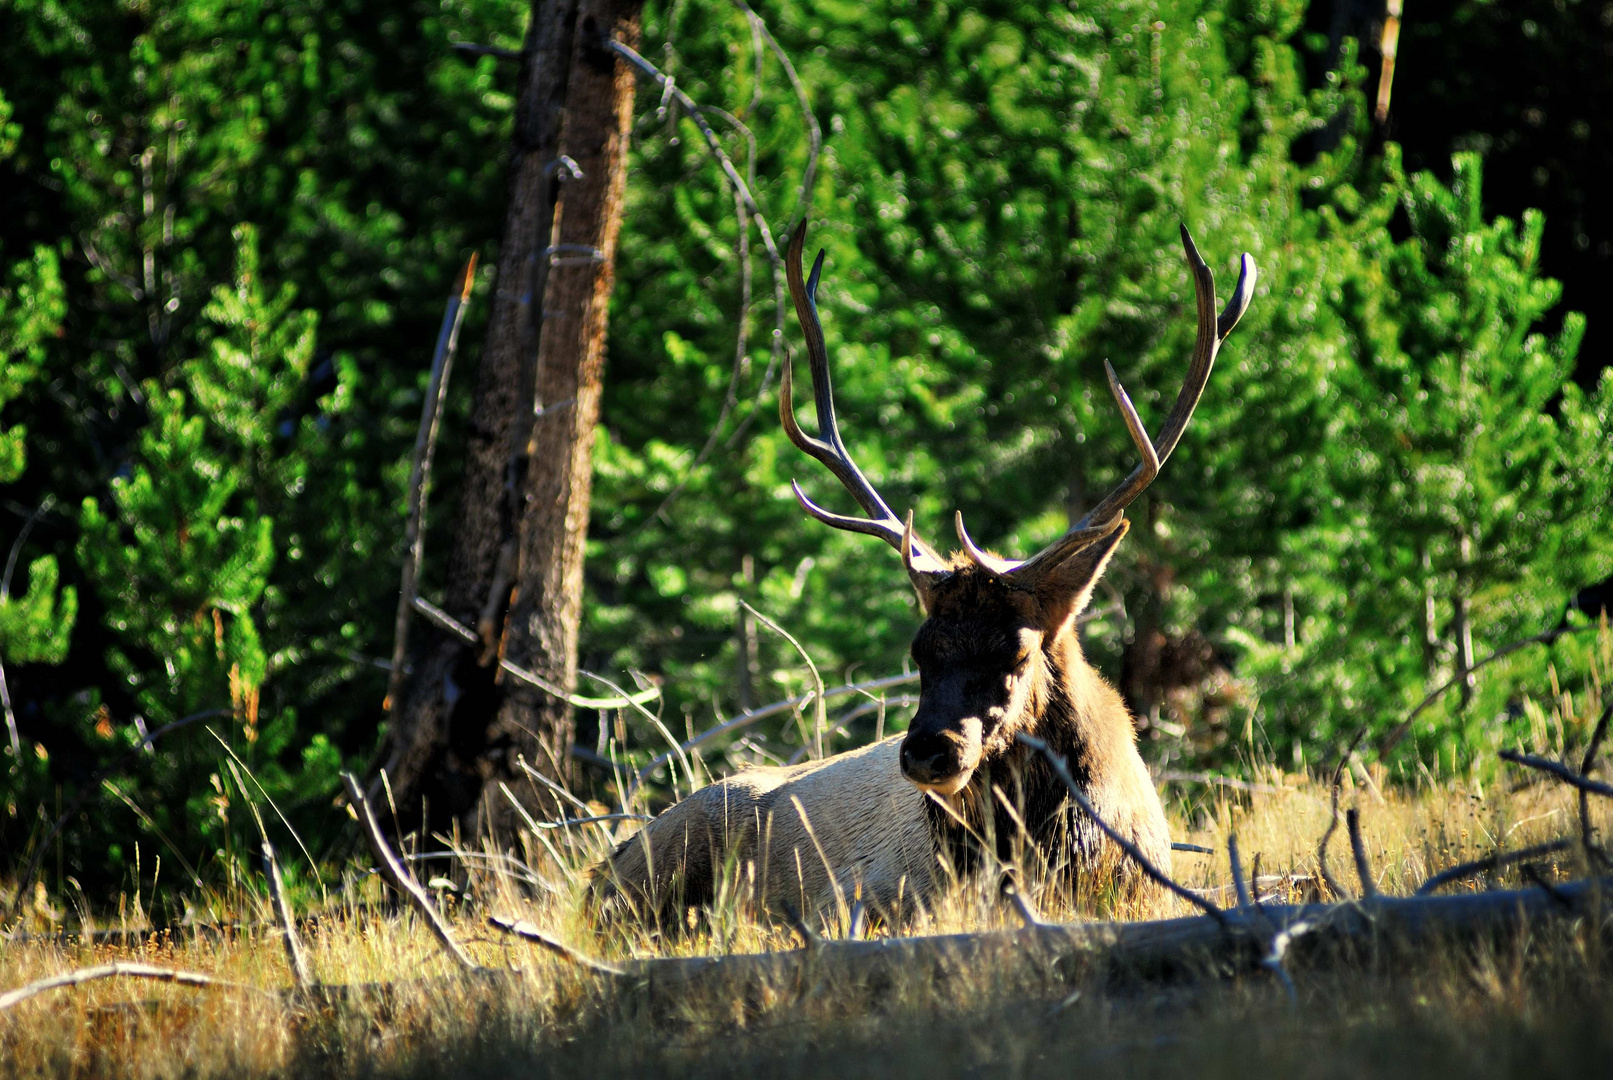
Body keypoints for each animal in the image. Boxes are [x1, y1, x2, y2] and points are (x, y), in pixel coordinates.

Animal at [587, 222, 1251, 928]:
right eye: (919, 648)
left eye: (1018, 652)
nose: (929, 751)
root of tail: (607, 861)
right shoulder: (868, 896)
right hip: (668, 855)